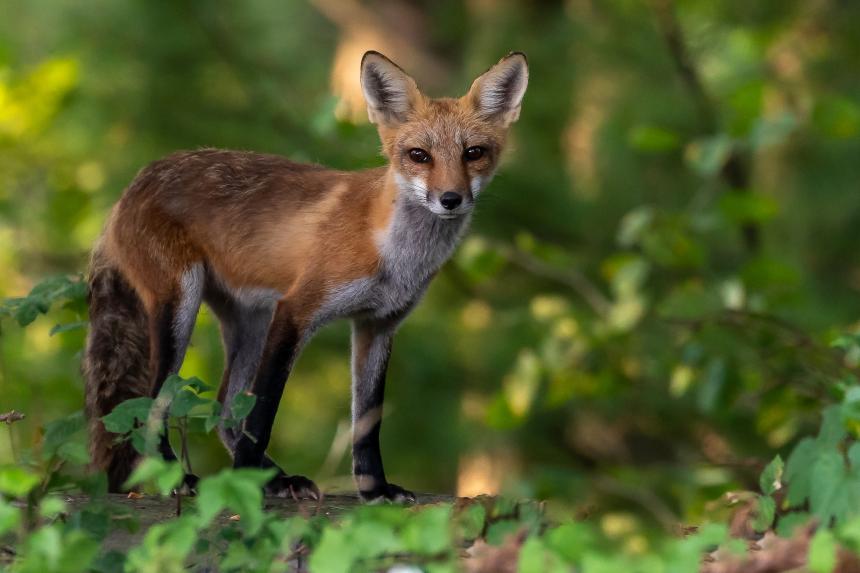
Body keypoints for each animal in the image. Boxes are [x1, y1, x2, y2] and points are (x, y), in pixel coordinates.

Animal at [84, 51, 528, 502]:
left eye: (473, 152)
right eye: (419, 155)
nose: (450, 199)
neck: (392, 253)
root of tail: (133, 185)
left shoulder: (378, 325)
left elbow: (367, 424)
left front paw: (375, 490)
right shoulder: (296, 310)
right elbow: (264, 411)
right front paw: (247, 485)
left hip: (250, 321)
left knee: (225, 406)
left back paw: (275, 476)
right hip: (182, 304)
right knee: (153, 402)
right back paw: (182, 477)